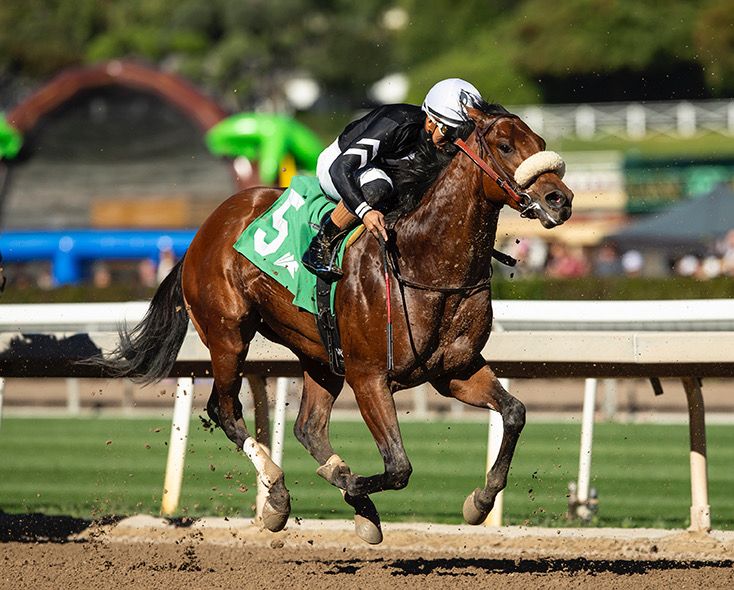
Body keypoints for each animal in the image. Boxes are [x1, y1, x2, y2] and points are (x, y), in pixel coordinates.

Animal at [94, 102, 573, 544]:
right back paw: (278, 496)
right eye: (505, 145)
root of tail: (203, 230)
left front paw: (479, 501)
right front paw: (348, 485)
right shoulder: (369, 376)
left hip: (318, 353)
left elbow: (515, 413)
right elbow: (398, 468)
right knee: (225, 410)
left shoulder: (455, 371)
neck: (424, 260)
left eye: (540, 143)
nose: (561, 200)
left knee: (308, 427)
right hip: (228, 334)